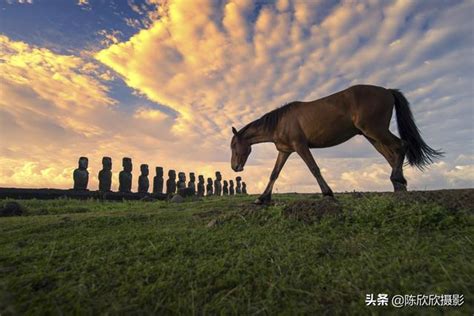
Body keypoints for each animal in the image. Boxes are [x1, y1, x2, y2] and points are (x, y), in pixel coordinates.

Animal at [231, 84, 442, 204]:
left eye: (233, 146)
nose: (235, 167)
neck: (281, 122)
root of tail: (387, 91)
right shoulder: (286, 151)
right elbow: (274, 173)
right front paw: (262, 198)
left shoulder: (300, 146)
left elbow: (314, 168)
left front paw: (327, 193)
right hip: (372, 136)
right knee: (392, 155)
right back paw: (399, 187)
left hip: (375, 130)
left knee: (401, 146)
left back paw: (397, 180)